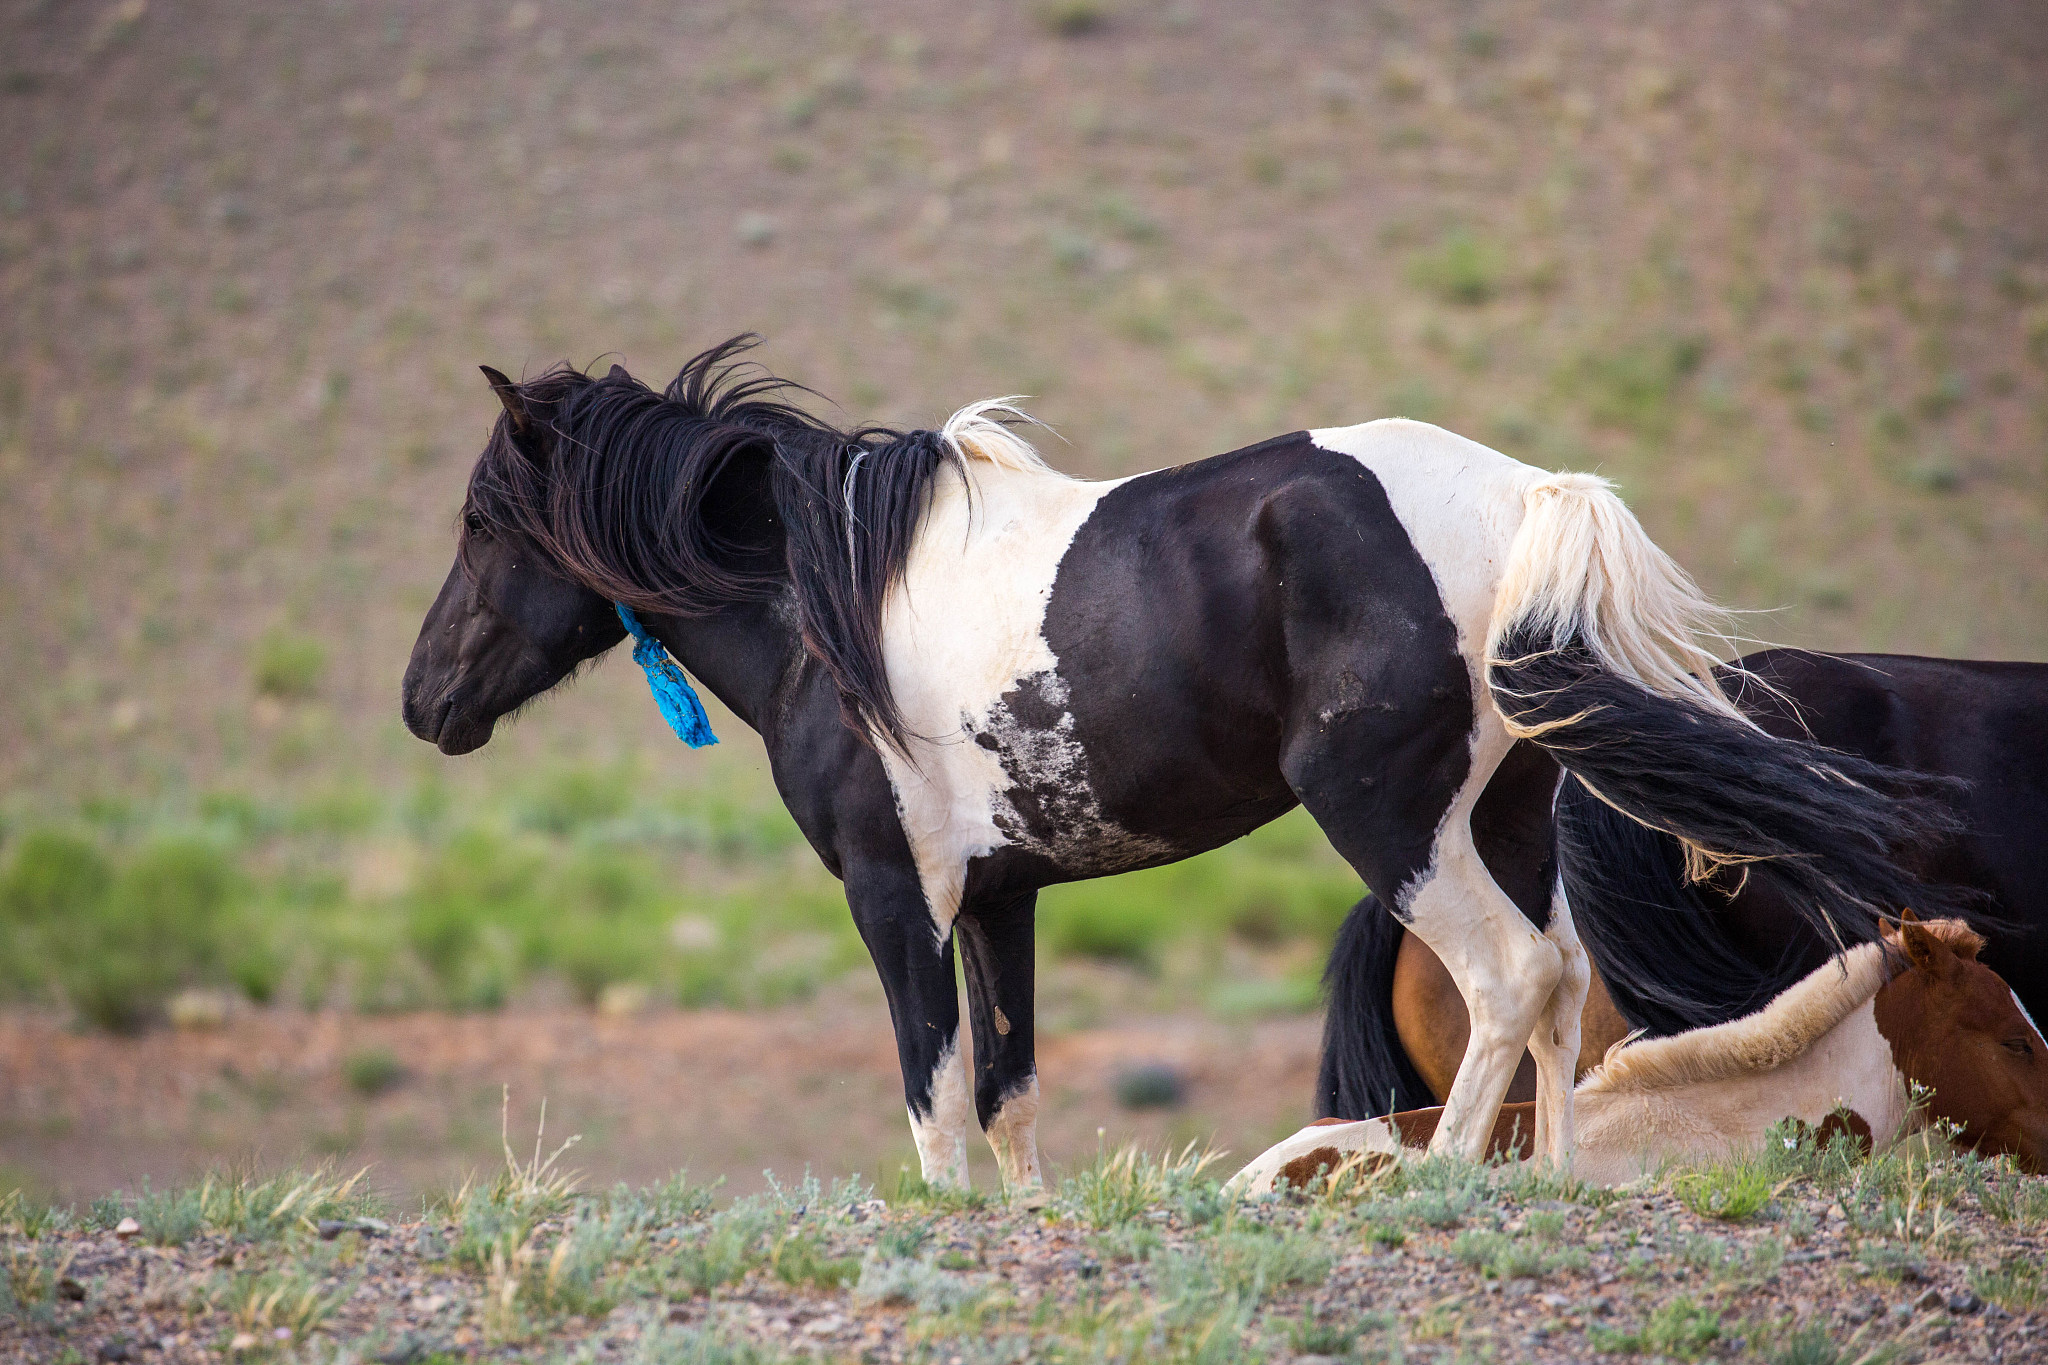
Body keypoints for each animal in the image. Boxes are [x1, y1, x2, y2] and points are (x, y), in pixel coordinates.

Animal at [401, 337, 1962, 1189]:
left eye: (481, 521)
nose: (424, 703)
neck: (824, 605)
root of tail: (1529, 499)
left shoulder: (894, 897)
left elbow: (933, 1102)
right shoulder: (1002, 901)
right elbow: (1011, 1095)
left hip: (1391, 821)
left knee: (1508, 978)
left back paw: (1442, 1184)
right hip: (1510, 822)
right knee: (1567, 990)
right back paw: (1552, 1185)